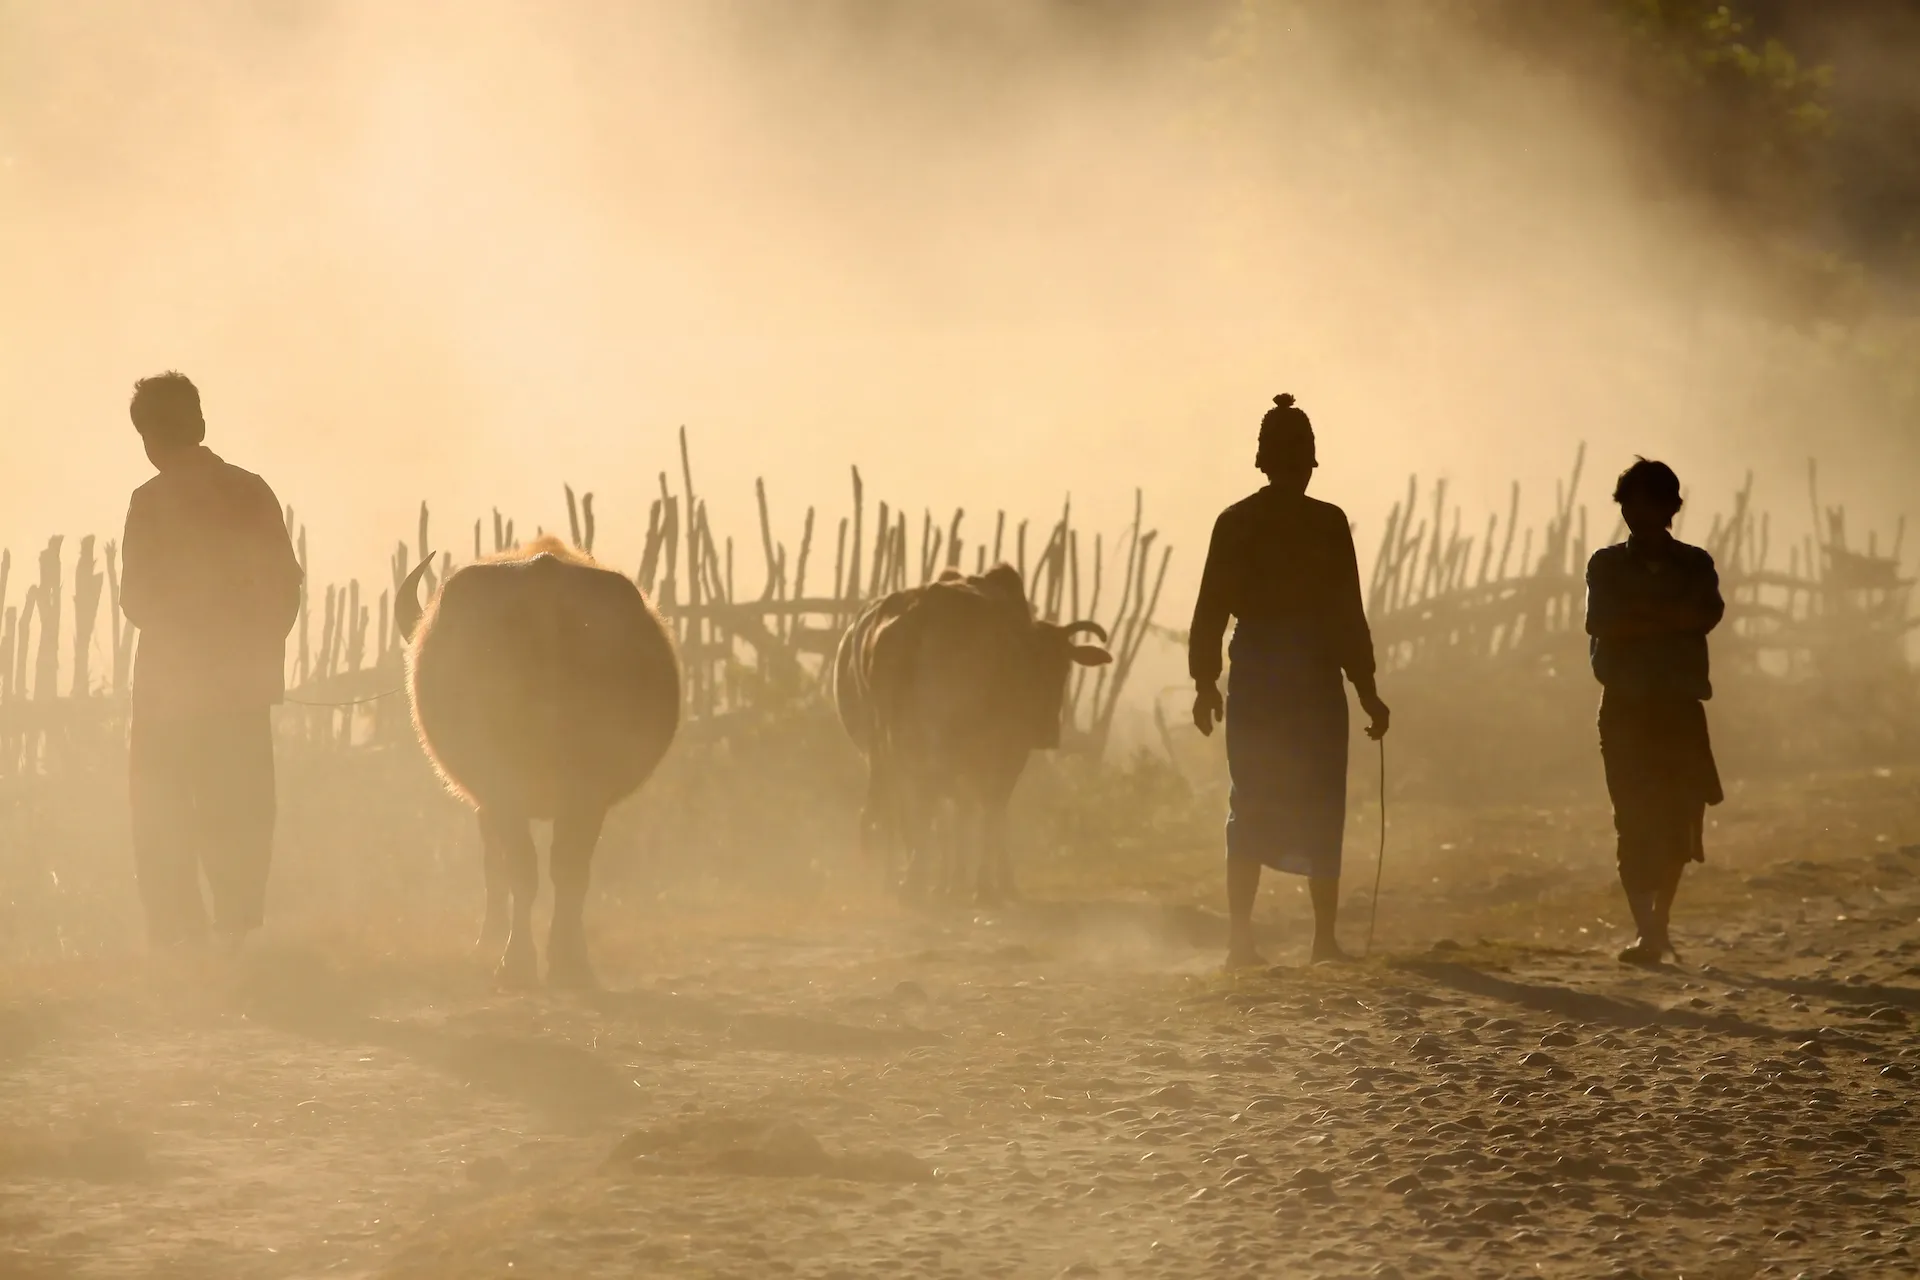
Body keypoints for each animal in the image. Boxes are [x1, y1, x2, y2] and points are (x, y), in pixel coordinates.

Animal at [833, 563, 1112, 904]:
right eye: (1059, 669)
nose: (1047, 733)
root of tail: (924, 607)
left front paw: (961, 882)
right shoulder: (1005, 754)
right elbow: (993, 812)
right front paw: (990, 883)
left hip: (891, 741)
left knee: (904, 804)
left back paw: (907, 881)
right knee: (926, 802)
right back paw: (920, 879)